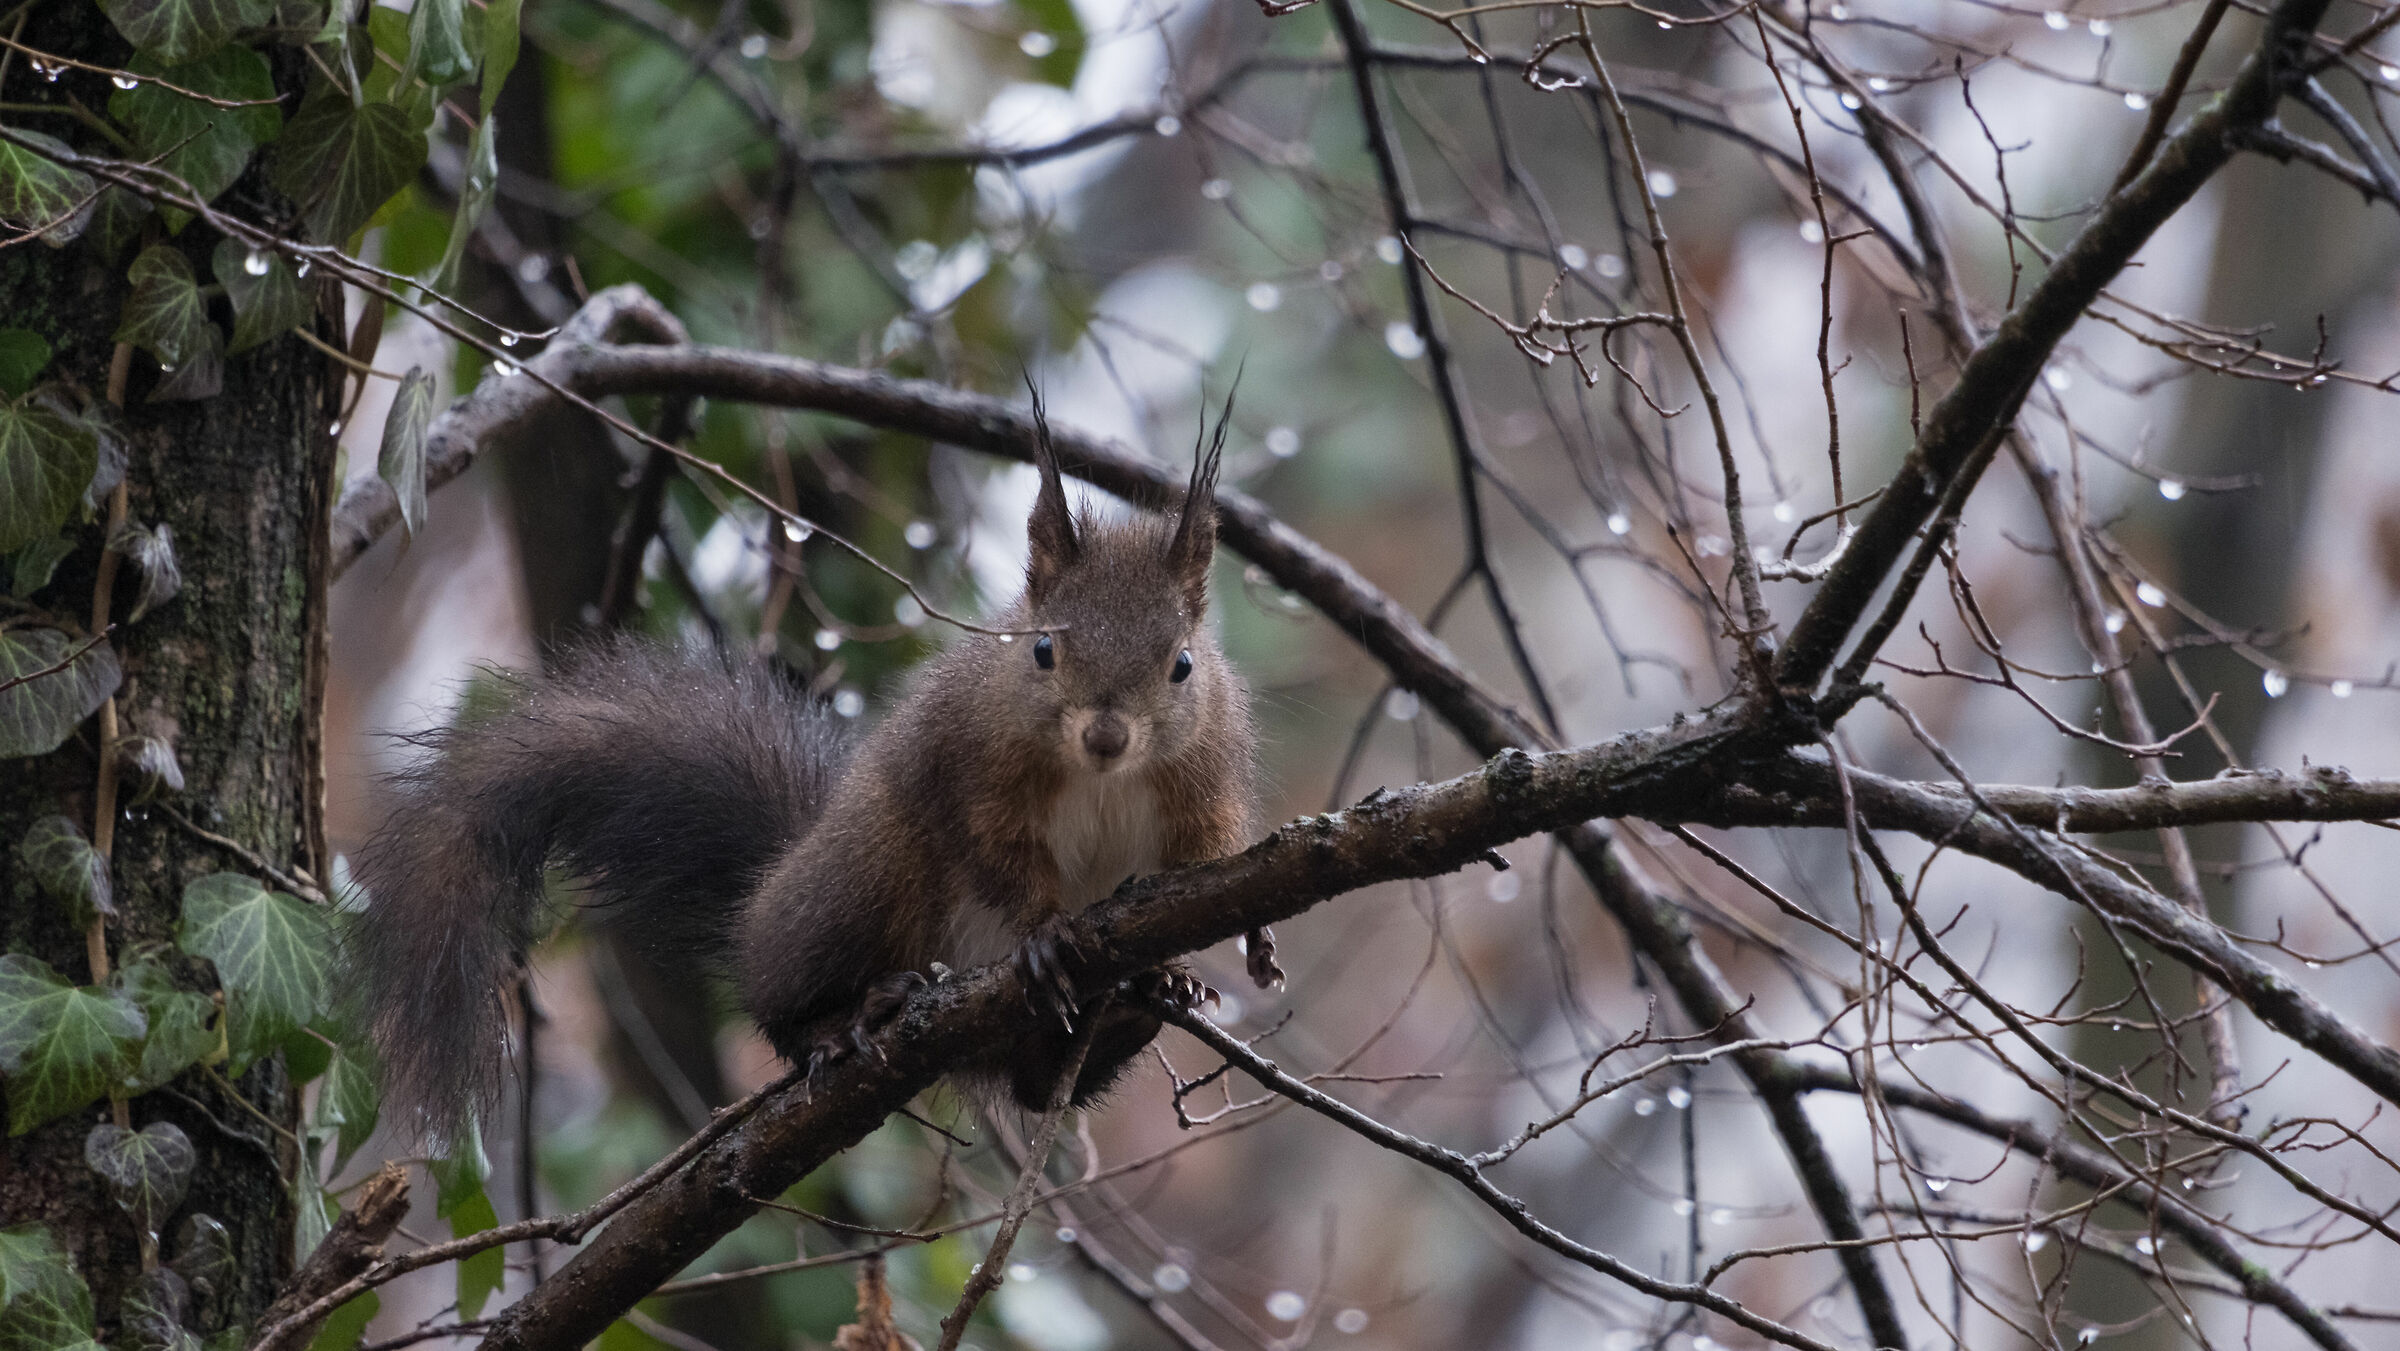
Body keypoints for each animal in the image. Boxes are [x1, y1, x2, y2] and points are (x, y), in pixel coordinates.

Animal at [348, 411, 1277, 1137]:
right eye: (1042, 649)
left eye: (1183, 664)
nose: (1108, 735)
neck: (1102, 778)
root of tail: (768, 895)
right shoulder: (973, 767)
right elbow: (996, 850)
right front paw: (1046, 929)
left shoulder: (1202, 782)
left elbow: (1206, 853)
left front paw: (1225, 947)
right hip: (867, 876)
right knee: (780, 997)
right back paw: (844, 1020)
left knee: (1040, 1086)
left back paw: (1125, 1010)